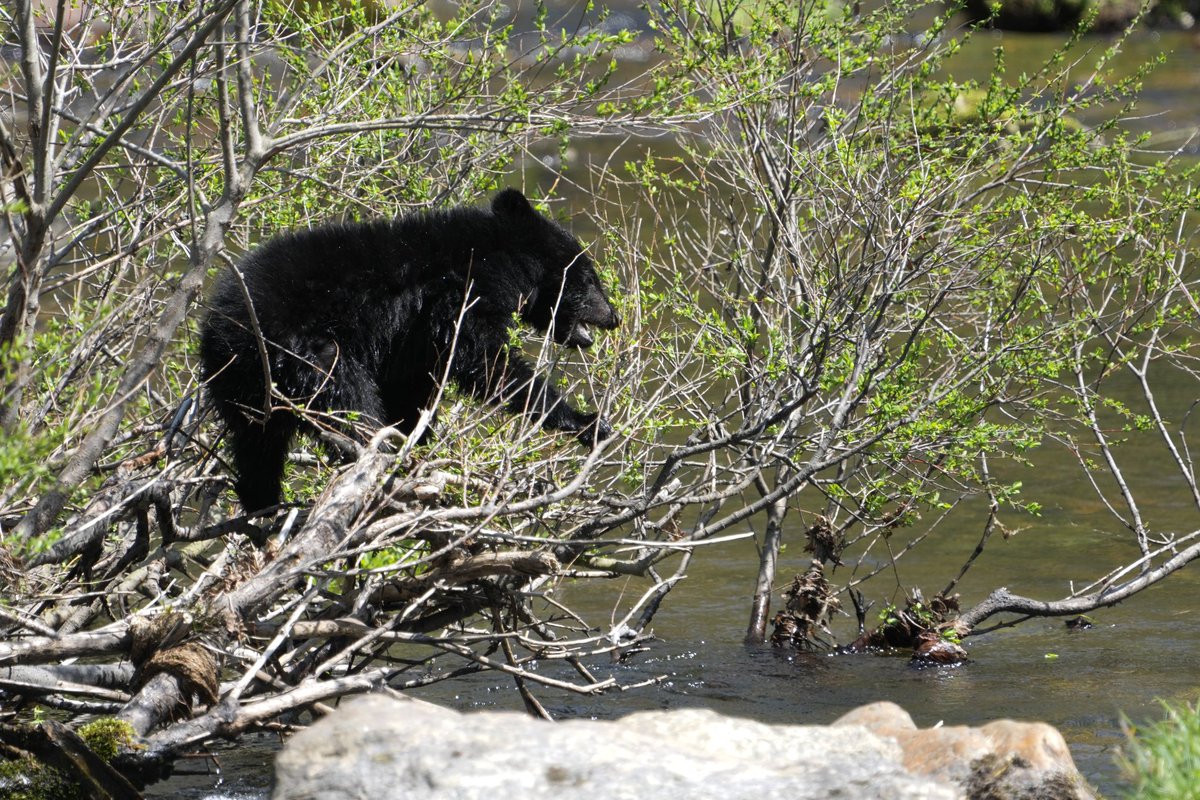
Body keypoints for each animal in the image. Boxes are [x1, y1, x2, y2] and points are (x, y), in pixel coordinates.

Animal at [199, 190, 619, 510]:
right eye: (590, 277)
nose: (614, 316)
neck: (501, 262)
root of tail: (223, 325)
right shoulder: (457, 296)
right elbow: (484, 361)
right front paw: (584, 421)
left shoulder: (411, 342)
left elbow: (413, 386)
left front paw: (419, 436)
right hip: (308, 351)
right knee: (347, 400)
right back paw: (374, 457)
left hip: (238, 384)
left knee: (257, 443)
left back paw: (263, 503)